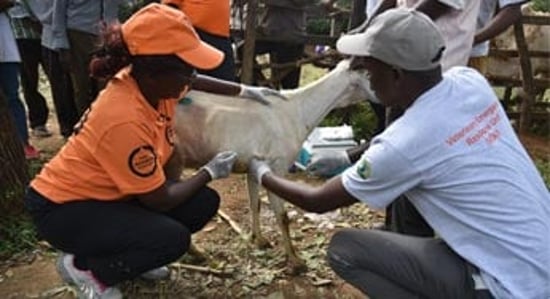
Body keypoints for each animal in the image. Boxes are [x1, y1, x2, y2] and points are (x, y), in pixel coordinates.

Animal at [175, 61, 374, 274]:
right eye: (367, 73)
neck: (298, 111)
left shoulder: (252, 166)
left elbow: (255, 203)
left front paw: (259, 239)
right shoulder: (277, 165)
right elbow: (283, 216)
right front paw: (295, 262)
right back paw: (195, 253)